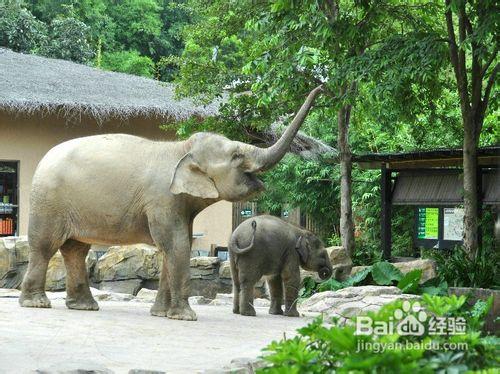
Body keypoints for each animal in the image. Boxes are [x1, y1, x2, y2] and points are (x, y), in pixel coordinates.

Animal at [19, 85, 322, 322]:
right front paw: (186, 317)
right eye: (237, 156)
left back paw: (84, 307)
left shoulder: (179, 204)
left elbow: (176, 244)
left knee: (76, 250)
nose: (322, 86)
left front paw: (161, 314)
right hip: (48, 201)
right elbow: (176, 244)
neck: (181, 148)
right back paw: (37, 303)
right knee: (45, 246)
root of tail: (42, 160)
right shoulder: (162, 199)